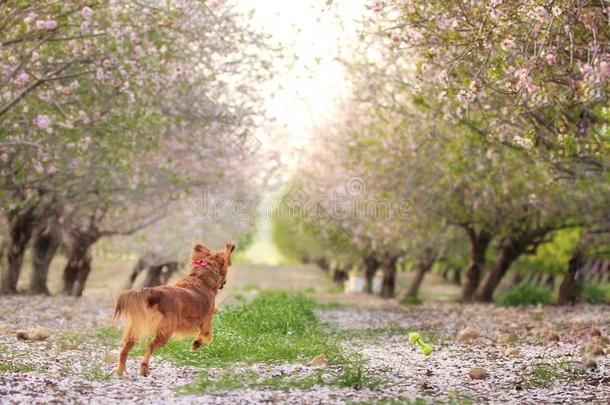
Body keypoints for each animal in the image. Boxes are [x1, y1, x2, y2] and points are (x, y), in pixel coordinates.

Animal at [114, 240, 235, 376]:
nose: (225, 282)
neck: (201, 278)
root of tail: (155, 294)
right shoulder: (206, 323)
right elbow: (207, 337)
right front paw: (196, 344)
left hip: (135, 329)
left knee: (124, 351)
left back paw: (120, 371)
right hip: (166, 332)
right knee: (150, 346)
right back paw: (144, 367)